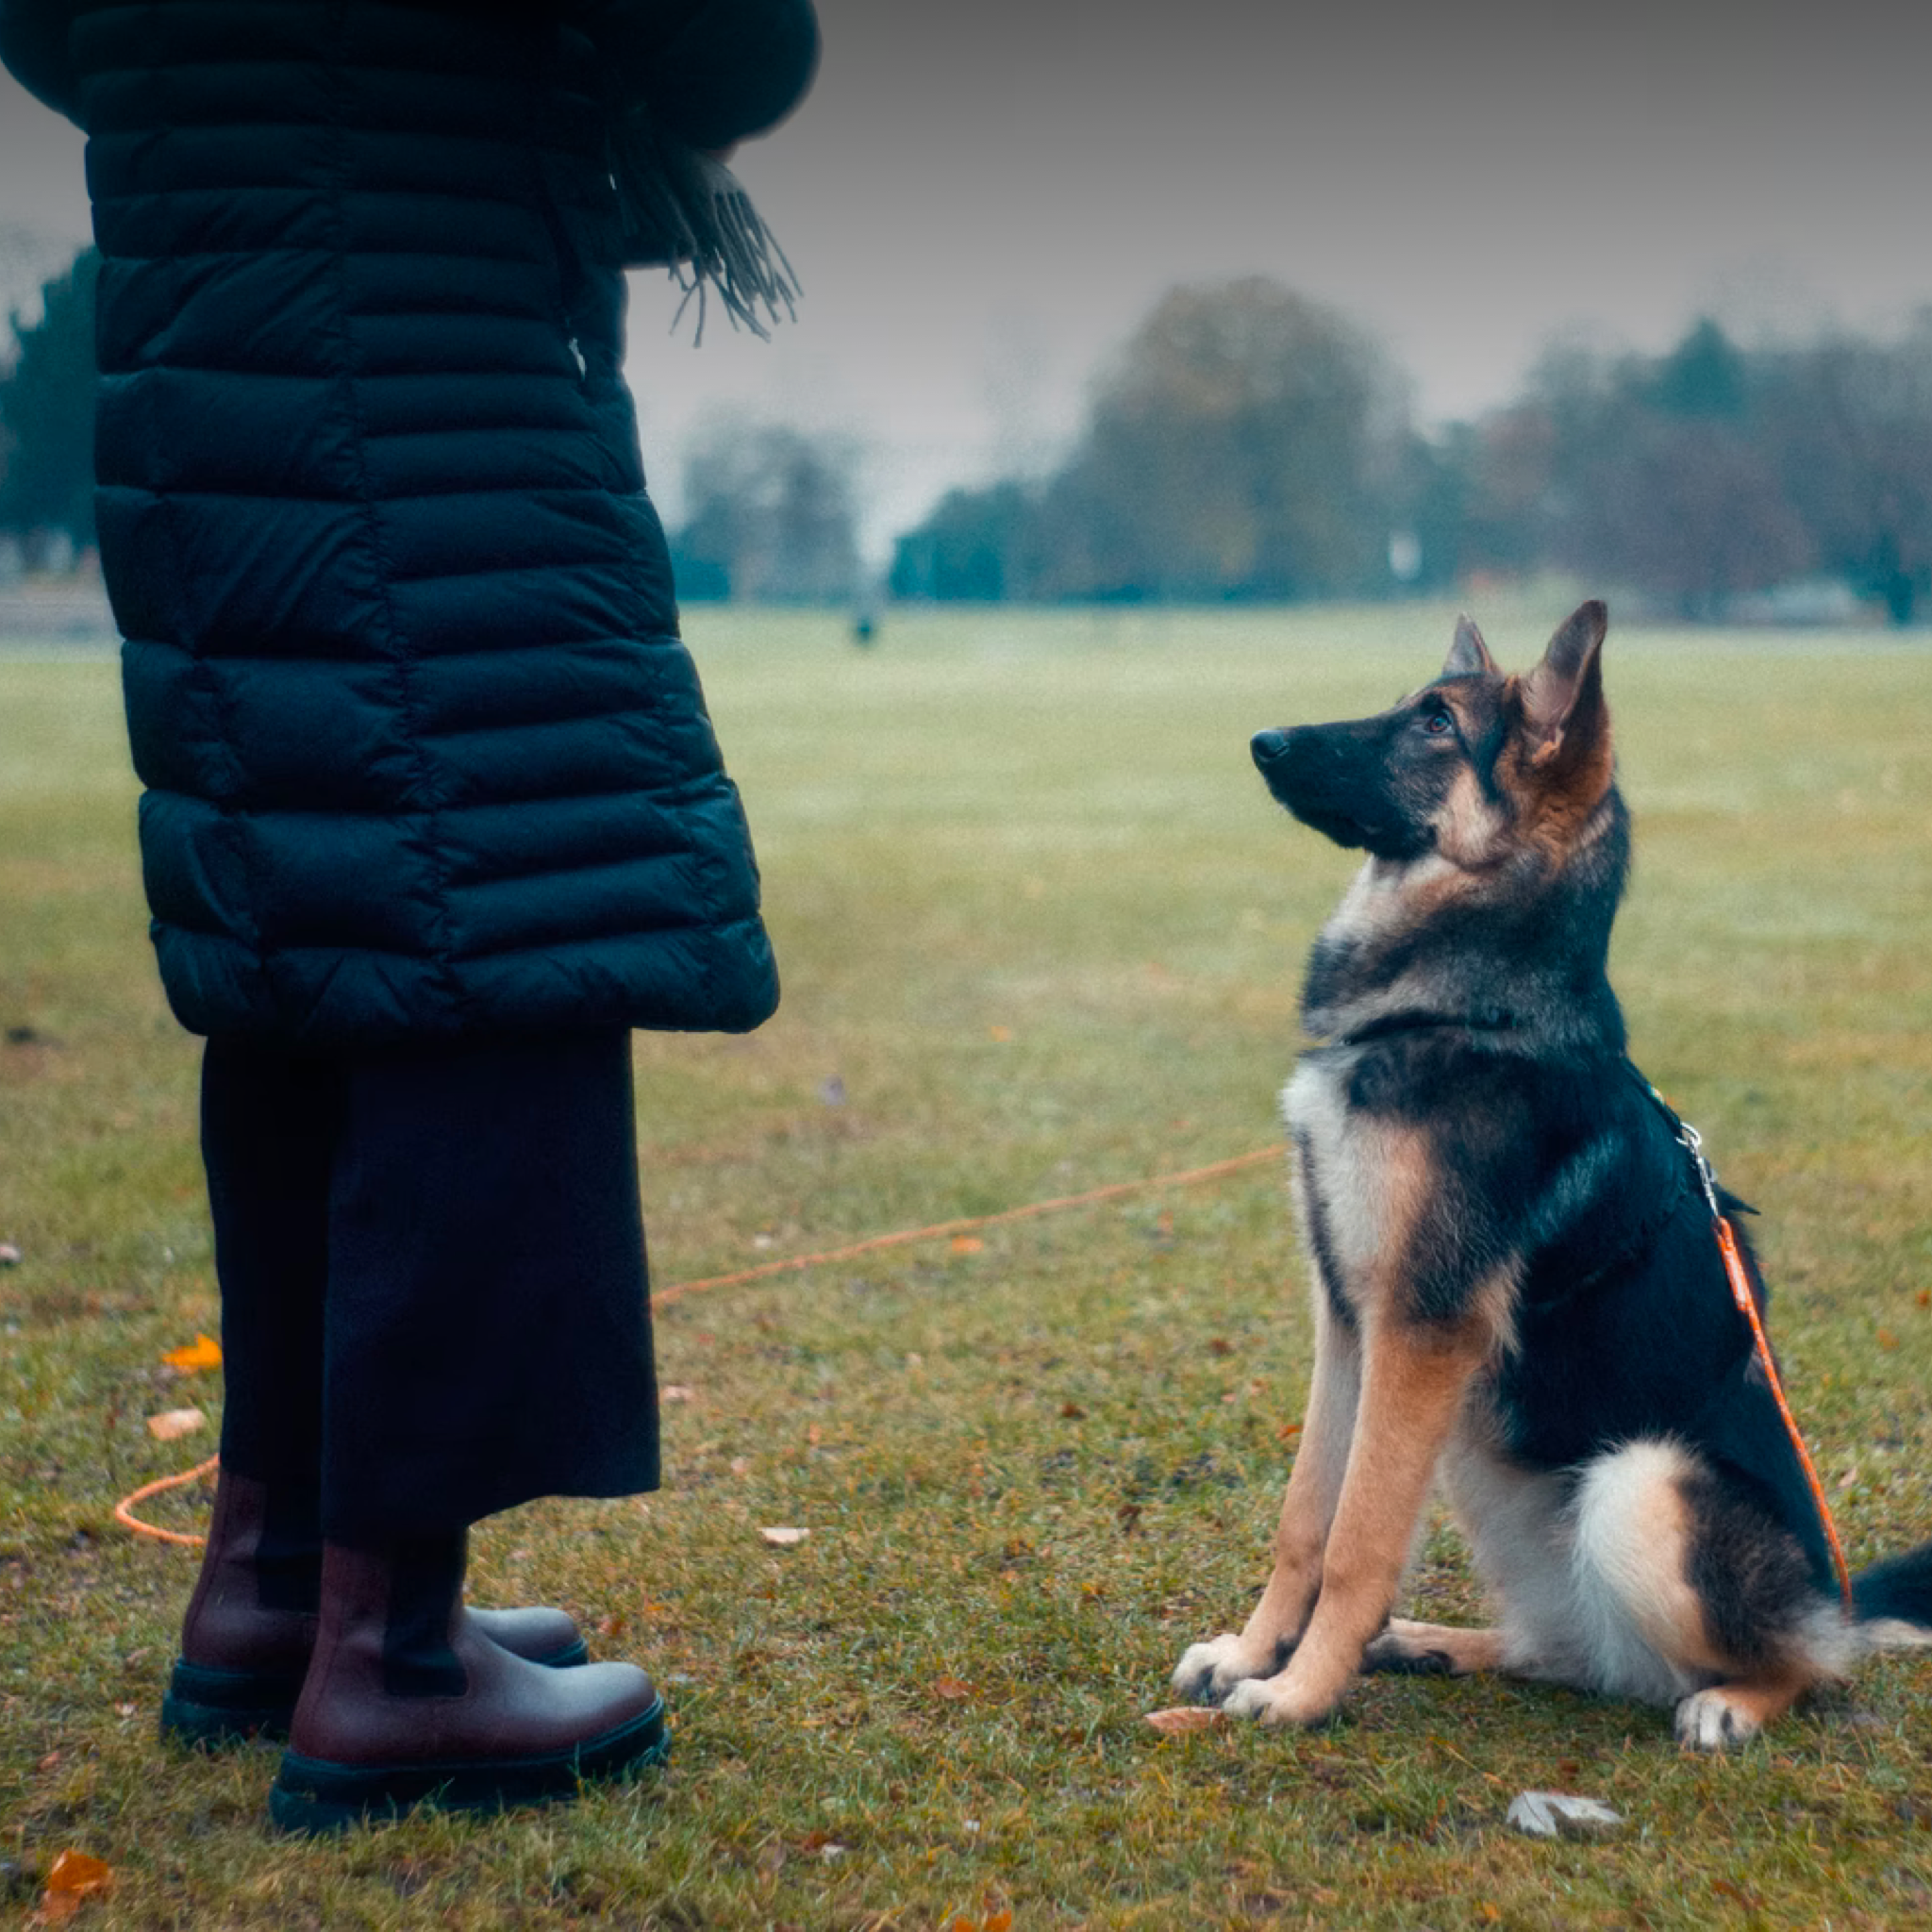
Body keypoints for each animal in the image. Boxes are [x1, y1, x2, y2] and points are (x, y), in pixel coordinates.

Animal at [1166, 602, 1932, 1754]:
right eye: (1410, 704)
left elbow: (1356, 1540)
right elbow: (1307, 1517)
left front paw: (1297, 1693)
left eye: (1436, 722)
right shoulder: (1349, 1320)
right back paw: (1436, 1641)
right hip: (1485, 1459)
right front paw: (1255, 1655)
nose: (1263, 741)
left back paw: (1734, 1700)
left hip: (1636, 1481)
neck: (1464, 1008)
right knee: (1572, 1654)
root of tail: (1831, 1599)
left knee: (1799, 1666)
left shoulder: (1419, 1330)